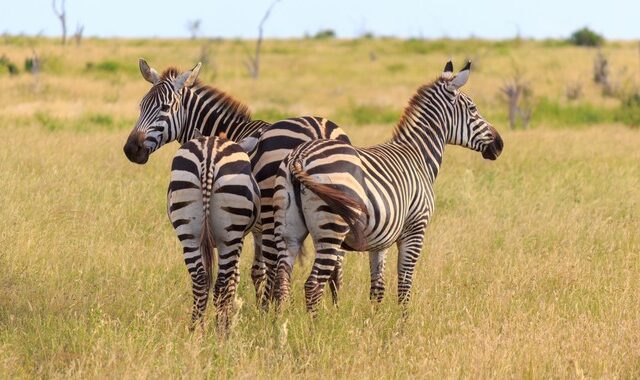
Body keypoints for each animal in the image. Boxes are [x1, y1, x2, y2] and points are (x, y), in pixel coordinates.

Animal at [169, 134, 262, 330]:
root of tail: (209, 153)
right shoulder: (239, 241)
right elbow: (234, 279)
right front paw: (230, 317)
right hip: (230, 235)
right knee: (221, 283)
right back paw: (222, 330)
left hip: (188, 232)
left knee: (200, 281)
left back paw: (196, 330)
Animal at [272, 61, 502, 312]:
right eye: (472, 108)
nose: (500, 144)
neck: (418, 156)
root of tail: (299, 156)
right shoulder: (415, 229)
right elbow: (405, 284)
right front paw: (403, 321)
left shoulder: (380, 238)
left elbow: (377, 288)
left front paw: (374, 319)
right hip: (331, 229)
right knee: (313, 285)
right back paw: (315, 323)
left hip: (288, 229)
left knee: (282, 280)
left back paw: (280, 322)